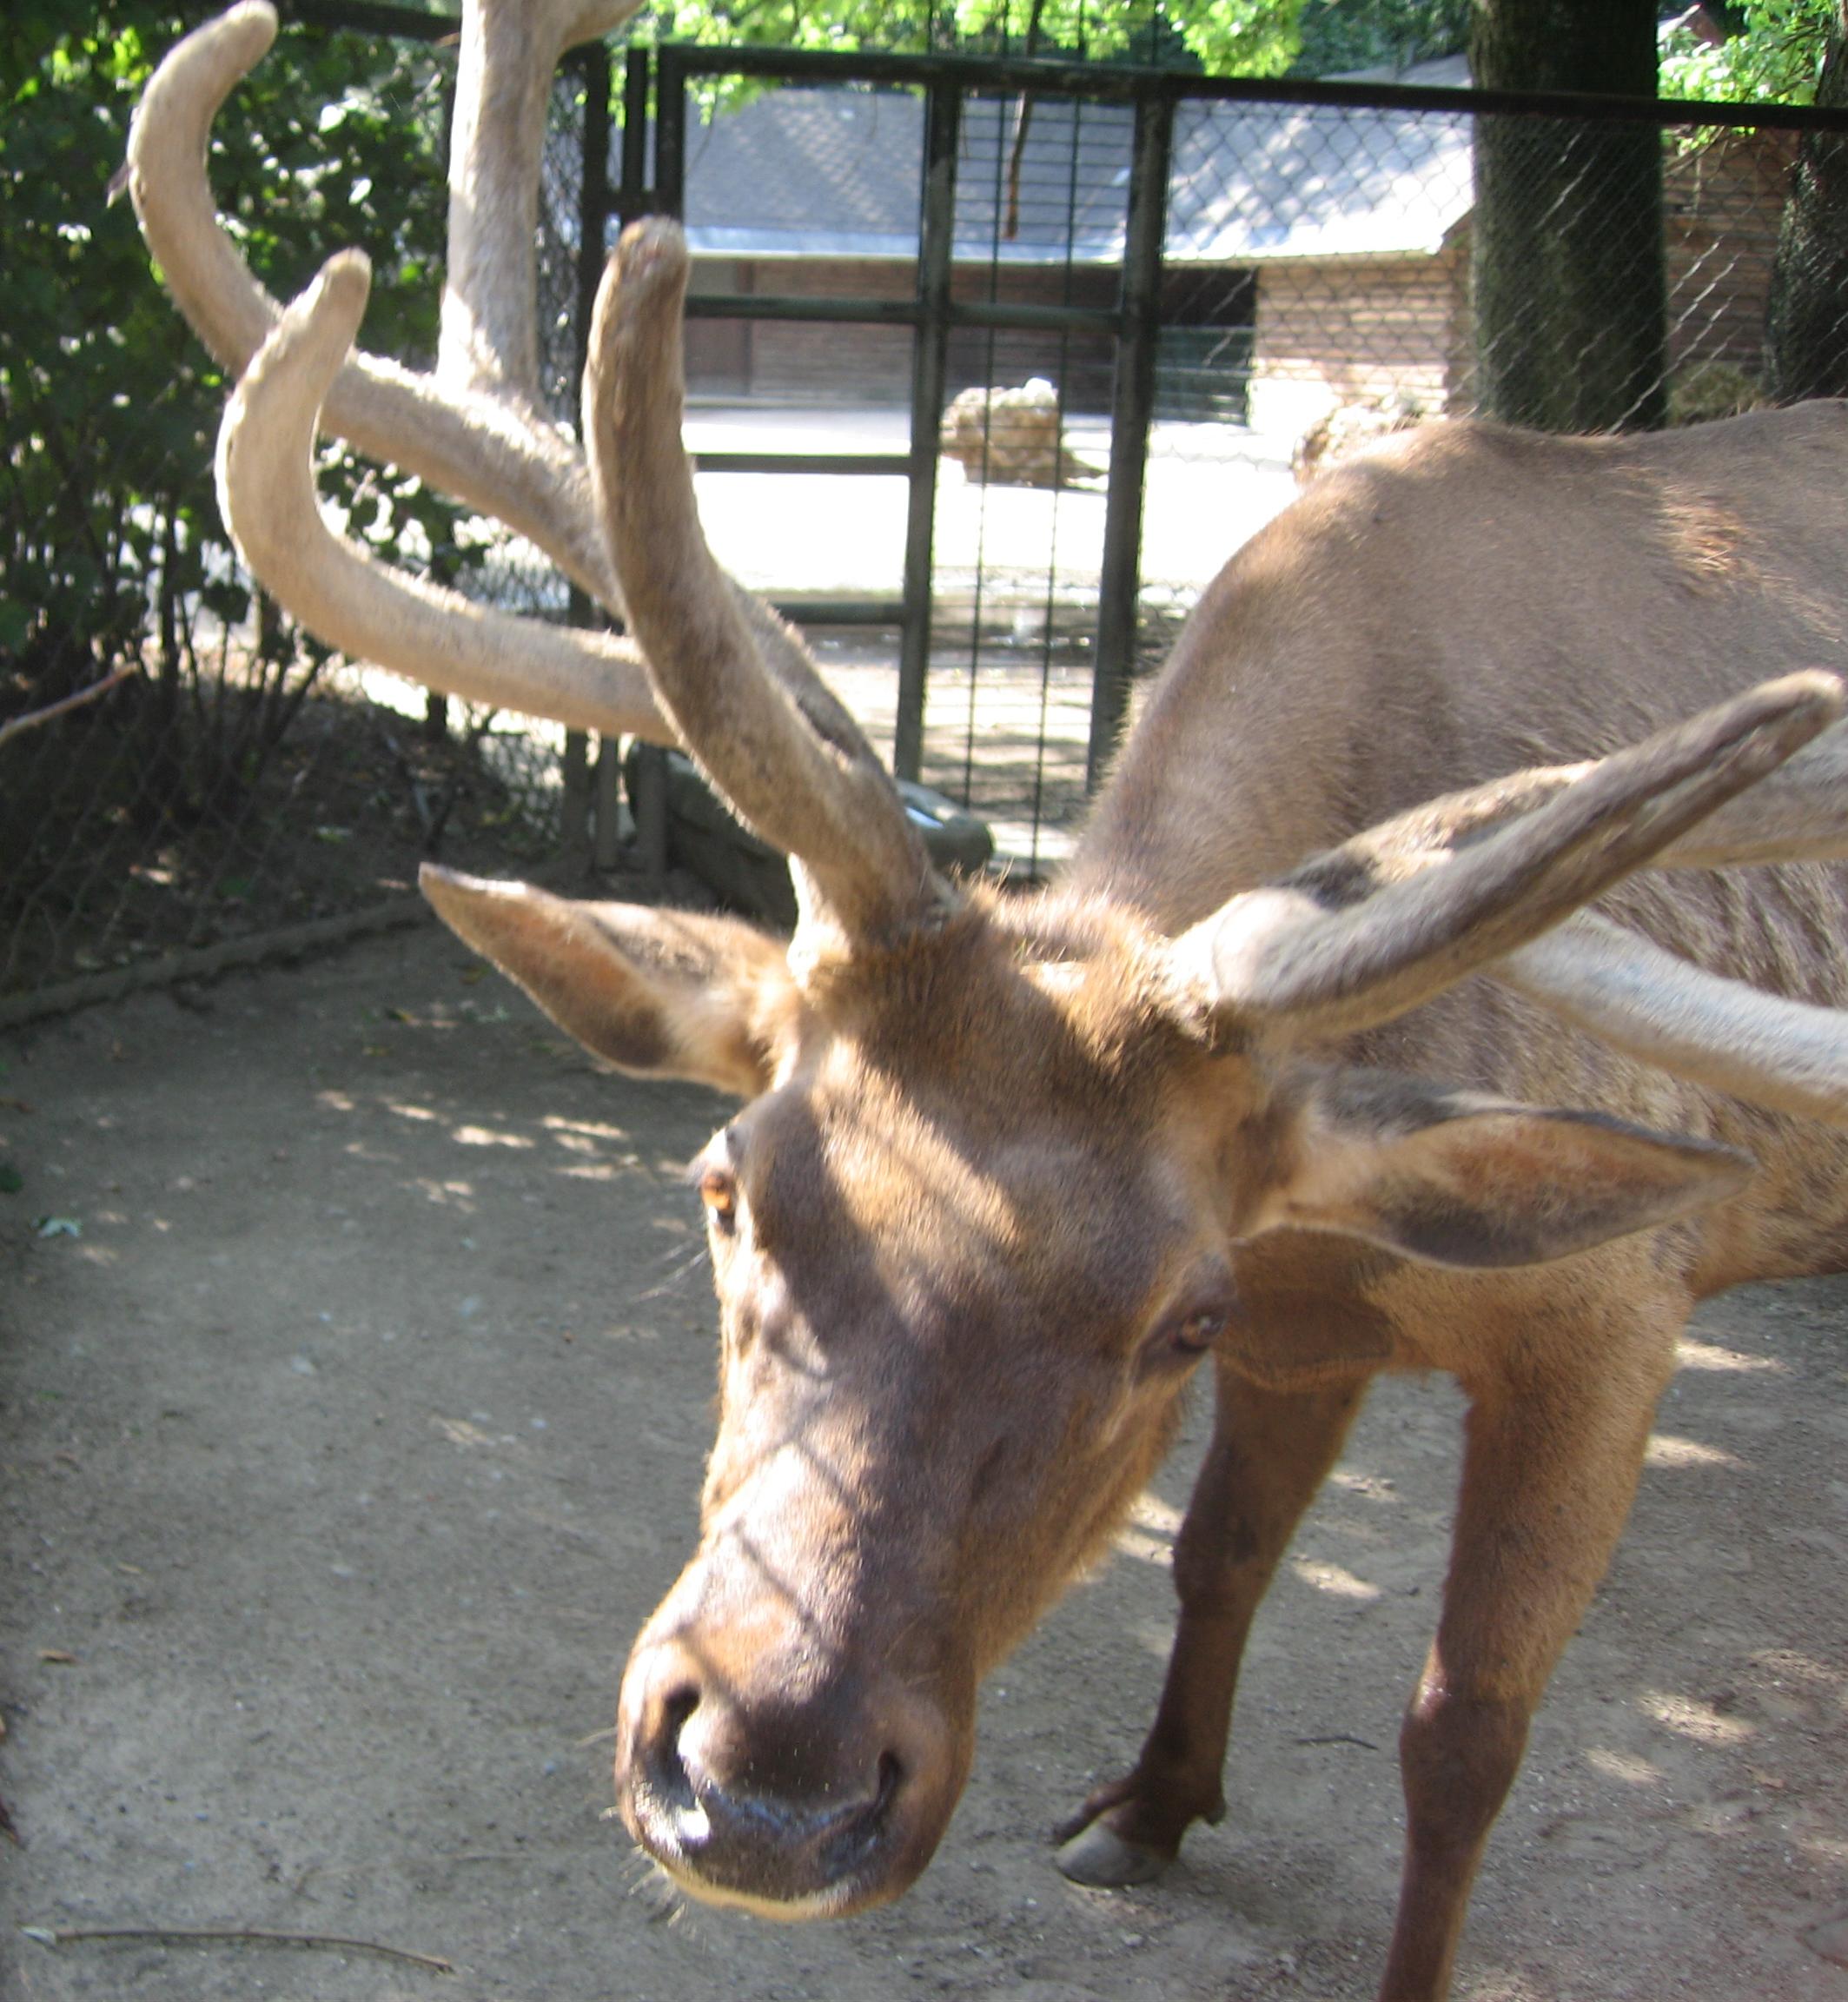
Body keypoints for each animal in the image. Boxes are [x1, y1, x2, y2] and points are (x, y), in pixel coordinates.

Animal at [128, 6, 1848, 1996]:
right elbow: (1217, 1554)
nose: (766, 1785)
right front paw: (1146, 1807)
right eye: (725, 1187)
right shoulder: (1314, 1324)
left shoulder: (1612, 1307)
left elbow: (1462, 1728)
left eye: (1177, 1316)